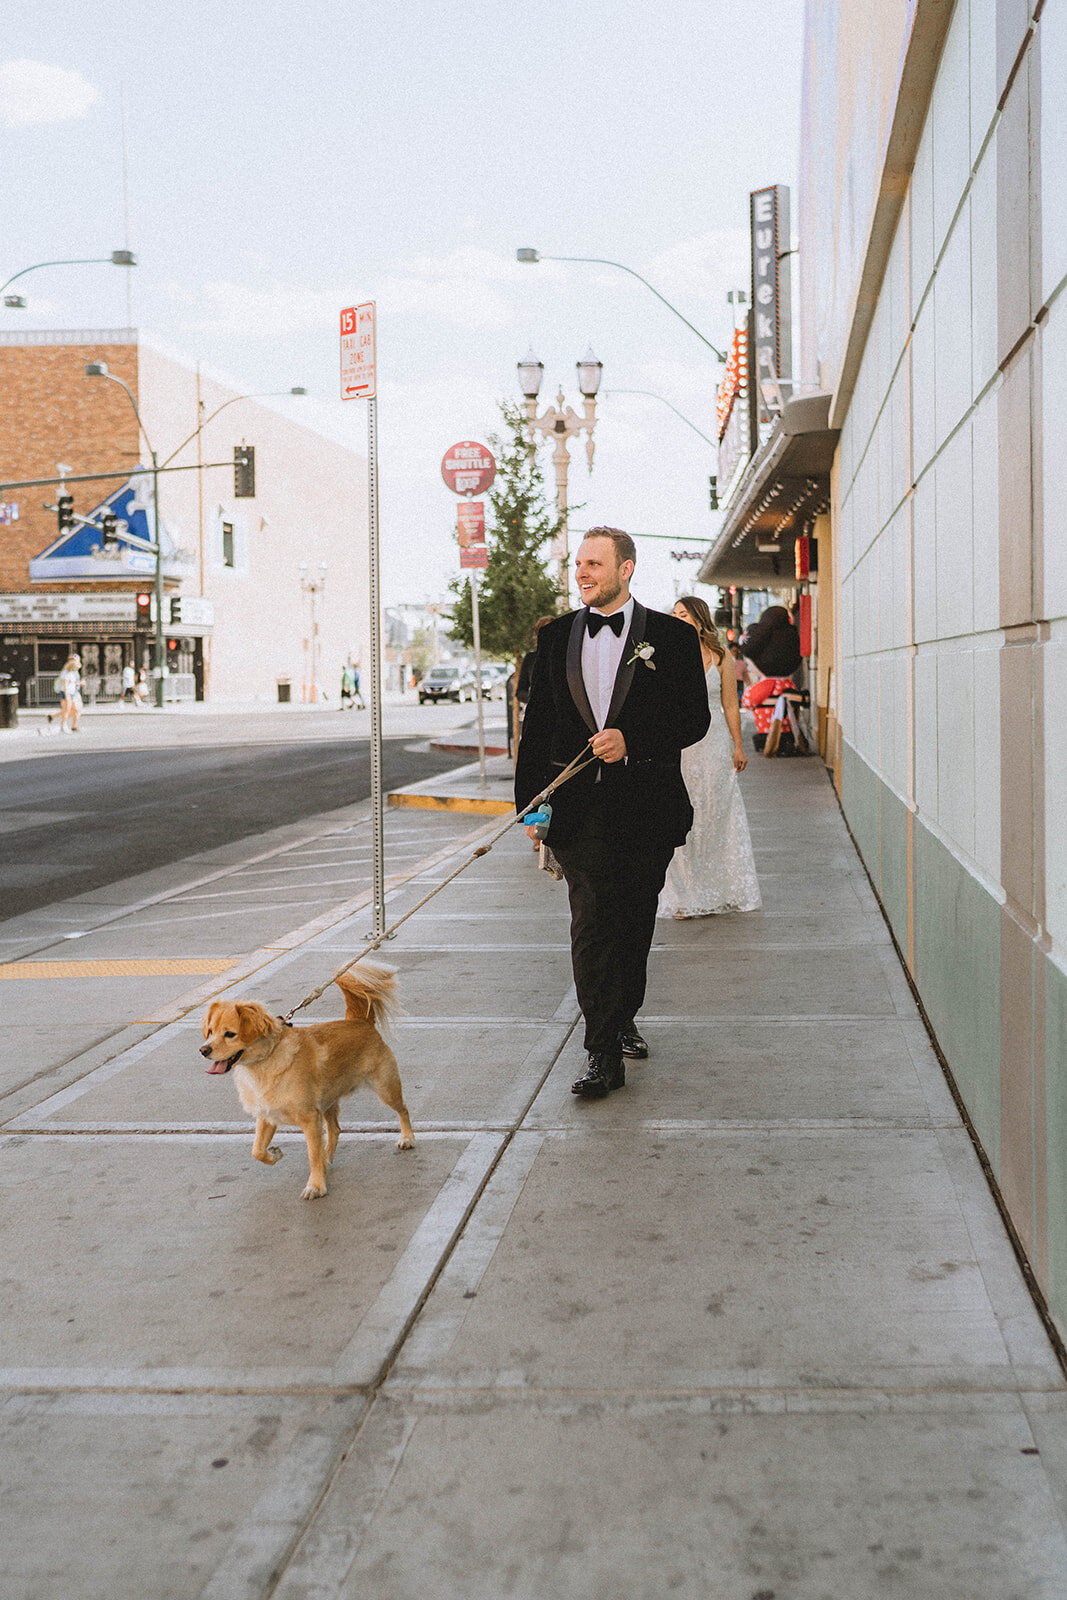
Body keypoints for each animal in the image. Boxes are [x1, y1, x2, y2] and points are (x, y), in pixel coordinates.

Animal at [199, 960, 412, 1203]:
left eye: (230, 1034)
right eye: (210, 1032)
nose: (204, 1050)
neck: (264, 1062)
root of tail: (359, 1021)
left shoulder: (310, 1119)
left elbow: (312, 1153)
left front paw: (316, 1185)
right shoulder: (267, 1116)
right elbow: (257, 1150)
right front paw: (275, 1155)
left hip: (385, 1088)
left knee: (403, 1109)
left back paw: (407, 1137)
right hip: (328, 1101)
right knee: (335, 1129)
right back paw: (327, 1158)